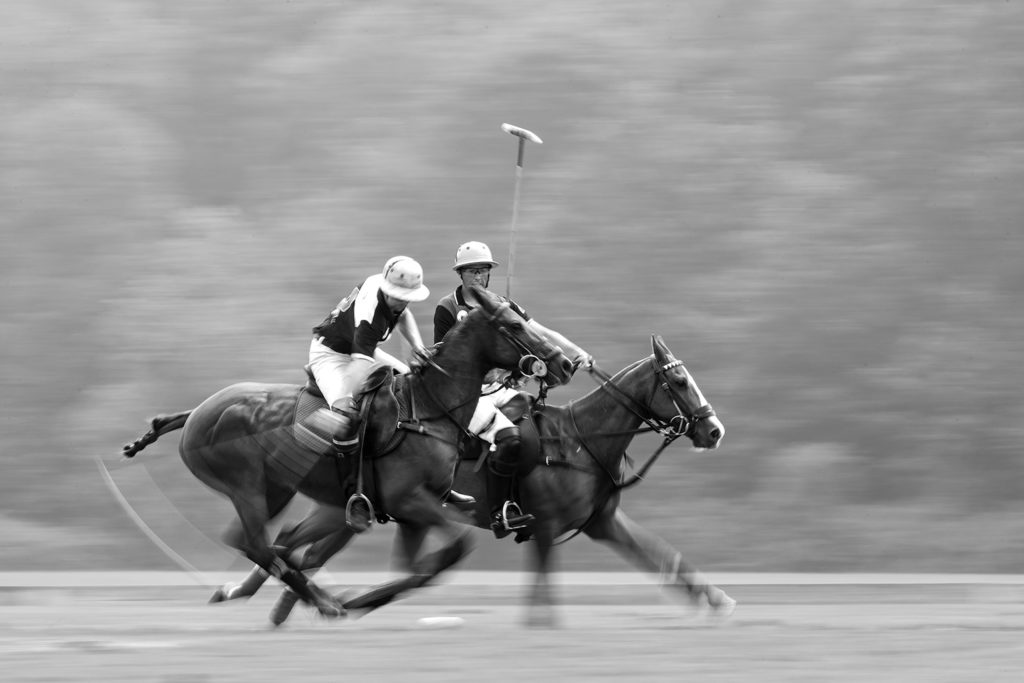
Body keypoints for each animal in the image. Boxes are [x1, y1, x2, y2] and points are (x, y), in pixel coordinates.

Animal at [119, 286, 577, 622]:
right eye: (515, 324)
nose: (565, 364)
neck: (430, 406)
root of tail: (197, 412)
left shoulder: (414, 510)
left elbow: (419, 569)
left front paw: (364, 599)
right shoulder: (410, 501)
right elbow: (450, 552)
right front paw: (357, 600)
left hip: (282, 491)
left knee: (270, 542)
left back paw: (273, 594)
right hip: (246, 486)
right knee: (257, 543)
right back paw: (322, 601)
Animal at [216, 333, 733, 626]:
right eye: (679, 382)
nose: (714, 431)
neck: (580, 441)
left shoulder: (602, 523)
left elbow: (661, 555)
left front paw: (715, 599)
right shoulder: (545, 524)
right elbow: (542, 583)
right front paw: (539, 627)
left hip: (348, 510)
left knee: (295, 545)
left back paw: (282, 603)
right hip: (356, 509)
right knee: (294, 546)